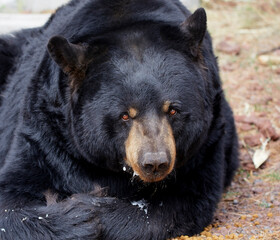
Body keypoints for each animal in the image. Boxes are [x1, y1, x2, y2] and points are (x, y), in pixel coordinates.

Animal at [0, 0, 238, 238]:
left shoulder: (206, 143)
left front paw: (92, 209)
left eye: (173, 110)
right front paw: (77, 216)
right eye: (124, 115)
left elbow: (180, 203)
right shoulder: (47, 132)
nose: (155, 163)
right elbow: (11, 194)